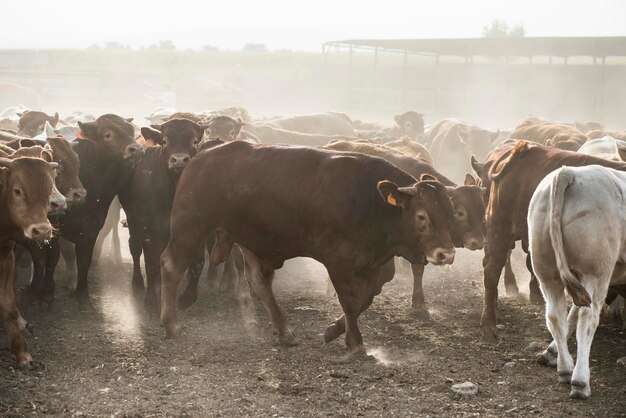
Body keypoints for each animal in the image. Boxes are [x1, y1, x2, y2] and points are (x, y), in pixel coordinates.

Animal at [0, 153, 56, 366]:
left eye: (48, 193)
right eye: (17, 191)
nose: (42, 231)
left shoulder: (7, 259)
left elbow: (8, 306)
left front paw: (21, 351)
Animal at [160, 141, 454, 356]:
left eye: (450, 213)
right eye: (421, 216)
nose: (446, 254)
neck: (369, 201)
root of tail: (201, 157)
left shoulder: (377, 264)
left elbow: (366, 298)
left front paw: (334, 330)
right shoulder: (337, 261)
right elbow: (350, 300)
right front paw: (355, 343)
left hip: (250, 240)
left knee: (259, 282)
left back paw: (284, 331)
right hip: (190, 227)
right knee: (172, 266)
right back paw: (171, 324)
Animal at [528, 165, 624, 400]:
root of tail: (569, 172)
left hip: (547, 272)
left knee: (555, 316)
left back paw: (564, 368)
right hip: (595, 273)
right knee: (587, 320)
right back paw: (580, 381)